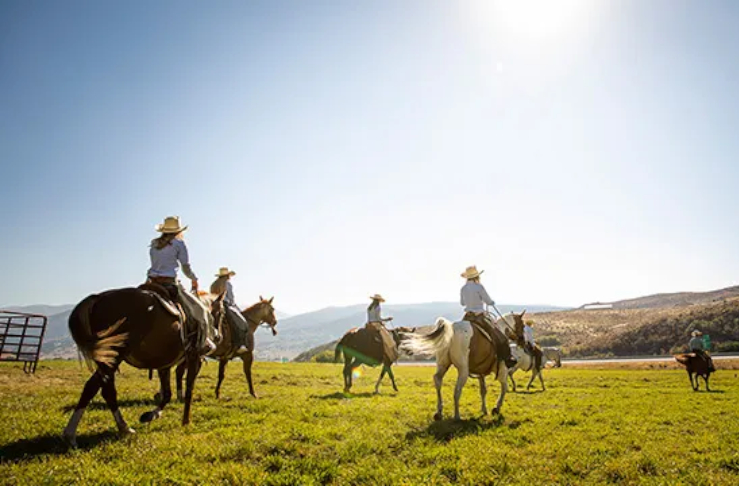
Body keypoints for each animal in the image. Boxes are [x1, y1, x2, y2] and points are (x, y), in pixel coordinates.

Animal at [62, 286, 225, 446]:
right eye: (221, 312)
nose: (218, 337)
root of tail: (97, 299)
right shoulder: (195, 357)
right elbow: (188, 389)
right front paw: (185, 421)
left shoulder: (164, 364)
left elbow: (167, 393)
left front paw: (152, 414)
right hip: (114, 356)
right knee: (97, 388)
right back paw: (74, 434)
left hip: (107, 358)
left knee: (101, 390)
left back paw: (121, 428)